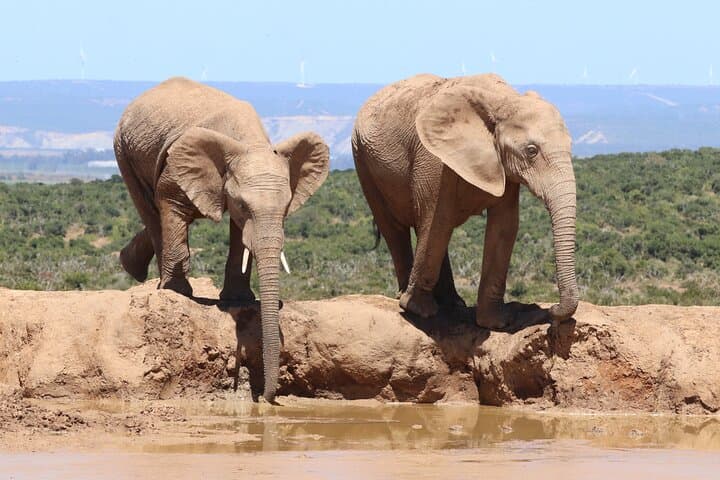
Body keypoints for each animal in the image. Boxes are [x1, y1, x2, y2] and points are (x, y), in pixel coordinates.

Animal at [114, 77, 330, 401]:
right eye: (241, 204)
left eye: (287, 206)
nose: (267, 397)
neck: (251, 142)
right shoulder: (179, 166)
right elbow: (171, 203)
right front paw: (178, 293)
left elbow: (240, 234)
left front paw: (239, 299)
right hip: (124, 150)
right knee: (151, 210)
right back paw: (160, 282)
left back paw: (131, 265)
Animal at [352, 73, 578, 328]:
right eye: (531, 151)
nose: (553, 311)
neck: (504, 99)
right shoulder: (433, 158)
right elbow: (437, 220)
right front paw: (419, 311)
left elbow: (505, 225)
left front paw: (496, 322)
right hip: (362, 159)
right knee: (395, 228)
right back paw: (411, 299)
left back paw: (453, 304)